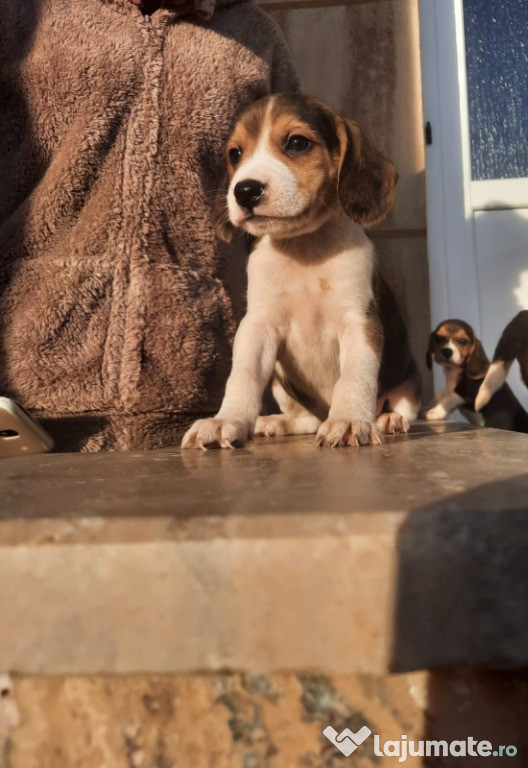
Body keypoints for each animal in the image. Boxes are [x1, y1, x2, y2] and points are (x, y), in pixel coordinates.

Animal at [182, 94, 420, 450]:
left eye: (297, 143)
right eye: (235, 153)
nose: (245, 191)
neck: (303, 248)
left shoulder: (359, 323)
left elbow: (355, 377)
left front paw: (349, 420)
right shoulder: (258, 326)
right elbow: (243, 377)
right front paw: (226, 420)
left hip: (409, 377)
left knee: (401, 407)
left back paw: (389, 419)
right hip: (282, 383)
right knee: (306, 419)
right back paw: (275, 423)